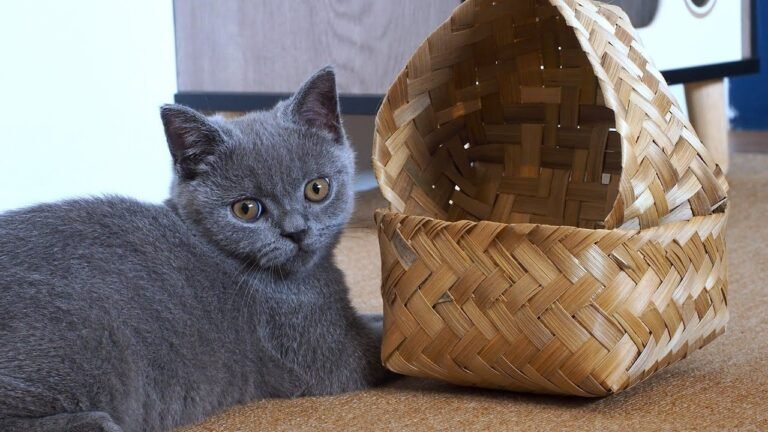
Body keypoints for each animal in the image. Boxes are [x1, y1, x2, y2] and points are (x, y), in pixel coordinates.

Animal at [0, 67, 388, 432]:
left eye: (317, 189)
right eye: (246, 209)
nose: (296, 231)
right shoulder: (324, 349)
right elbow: (377, 348)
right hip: (85, 343)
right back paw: (96, 424)